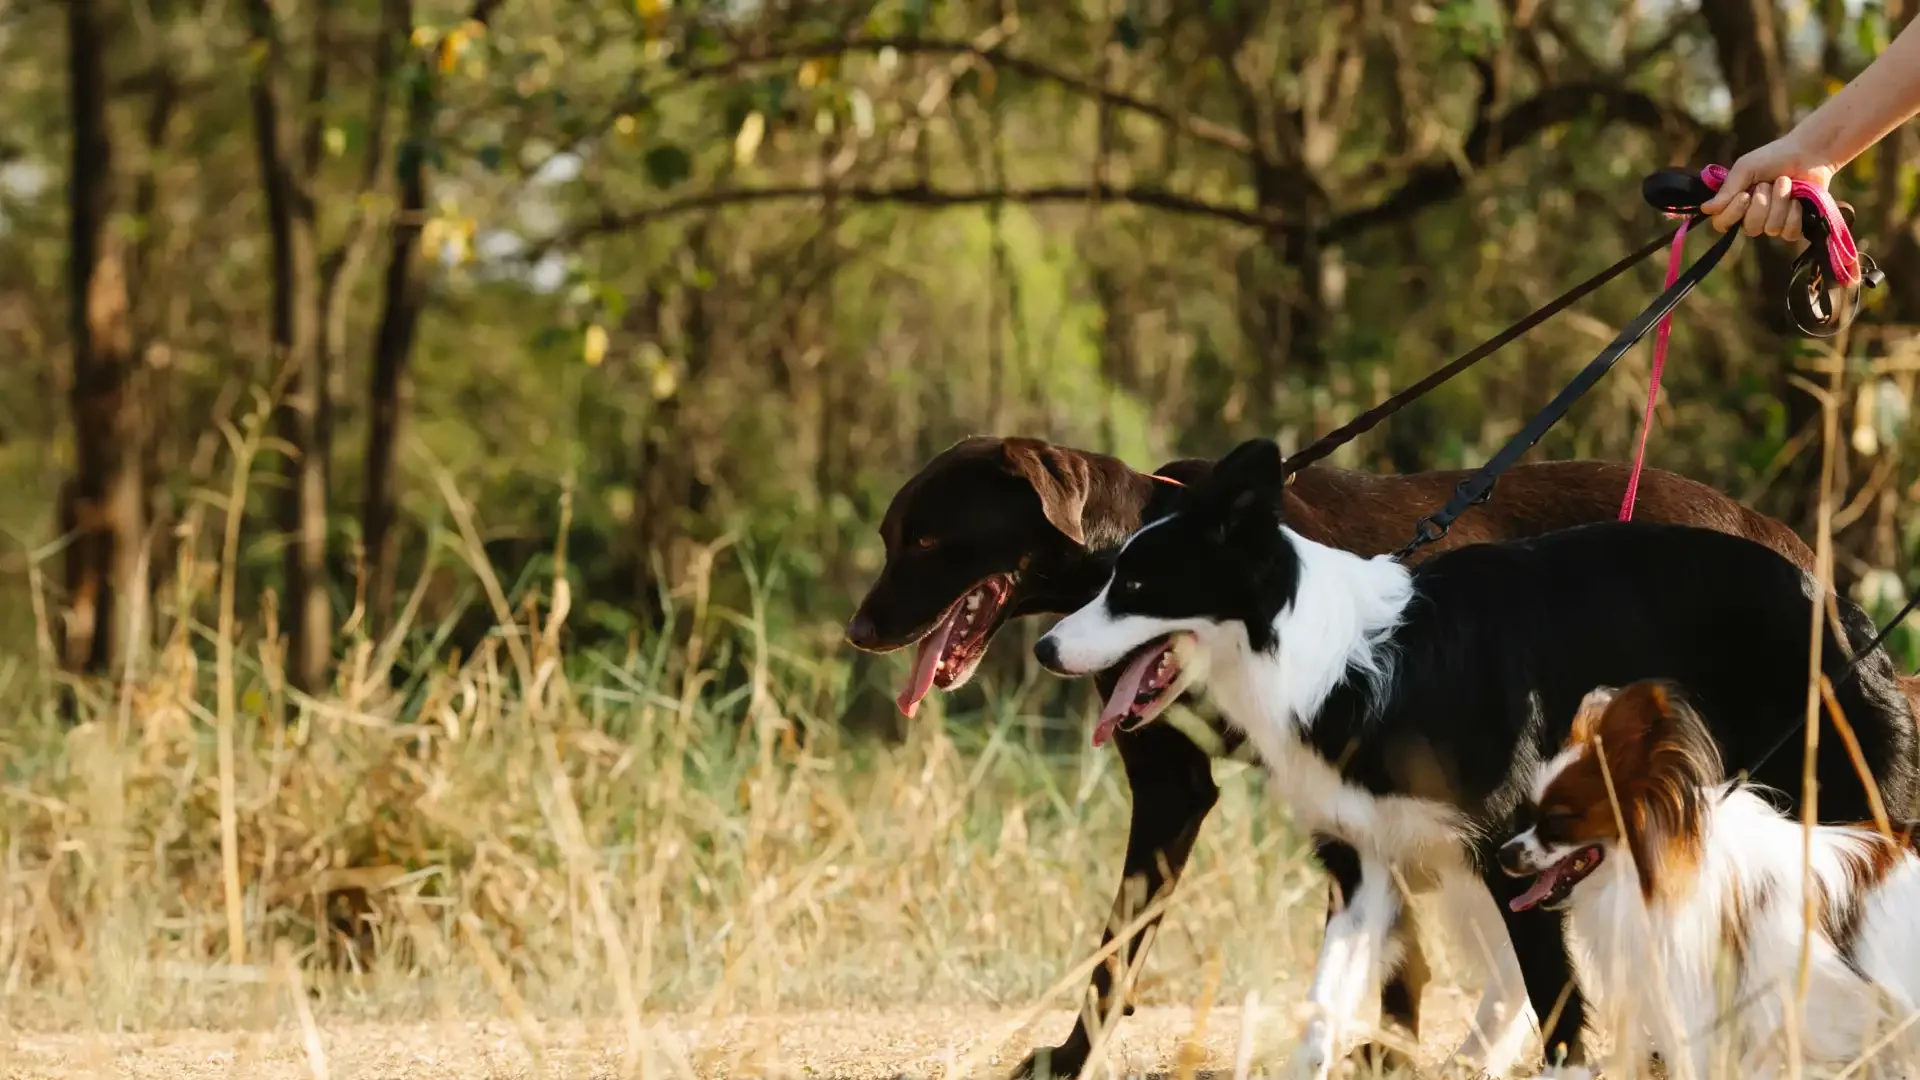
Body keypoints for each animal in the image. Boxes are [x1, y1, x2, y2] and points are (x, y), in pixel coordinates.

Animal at [852, 432, 1827, 1068]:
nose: (859, 631)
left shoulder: (1227, 795)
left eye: (928, 537)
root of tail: (1776, 538)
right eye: (891, 535)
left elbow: (1117, 955)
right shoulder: (1230, 791)